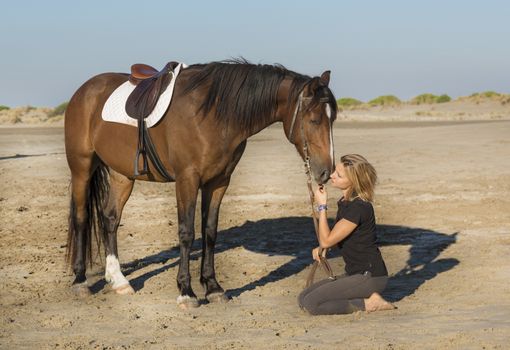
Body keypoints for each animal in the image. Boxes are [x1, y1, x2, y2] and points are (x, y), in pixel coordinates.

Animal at [64, 58, 338, 308]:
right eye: (314, 120)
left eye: (332, 119)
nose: (327, 172)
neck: (213, 114)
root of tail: (84, 91)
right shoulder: (187, 179)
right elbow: (187, 233)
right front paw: (186, 291)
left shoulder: (218, 182)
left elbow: (210, 231)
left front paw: (213, 287)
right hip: (81, 168)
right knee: (81, 218)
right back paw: (80, 281)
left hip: (122, 175)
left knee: (110, 218)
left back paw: (118, 280)